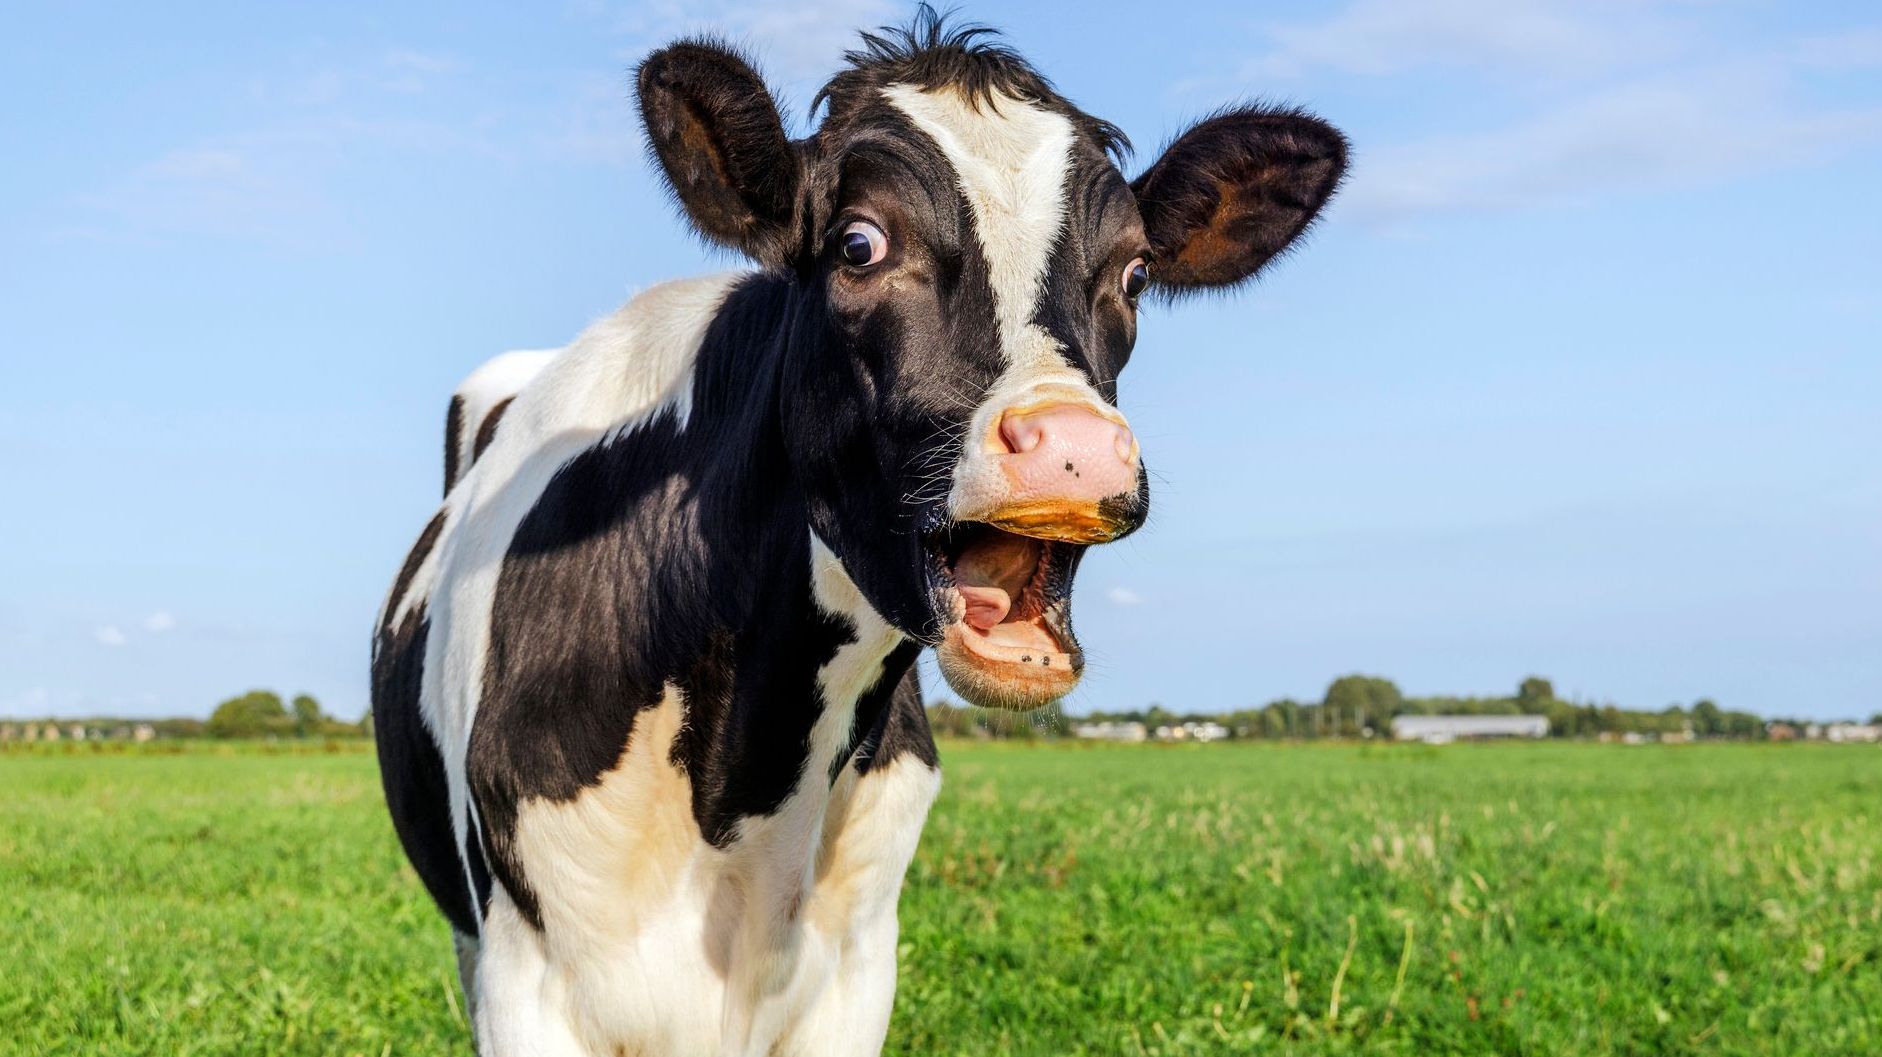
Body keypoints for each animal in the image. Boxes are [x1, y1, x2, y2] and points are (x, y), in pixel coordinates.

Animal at [372, 10, 1345, 1055]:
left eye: (1134, 272)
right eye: (858, 245)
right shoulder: (527, 981)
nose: (1077, 448)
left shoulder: (854, 975)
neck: (744, 796)